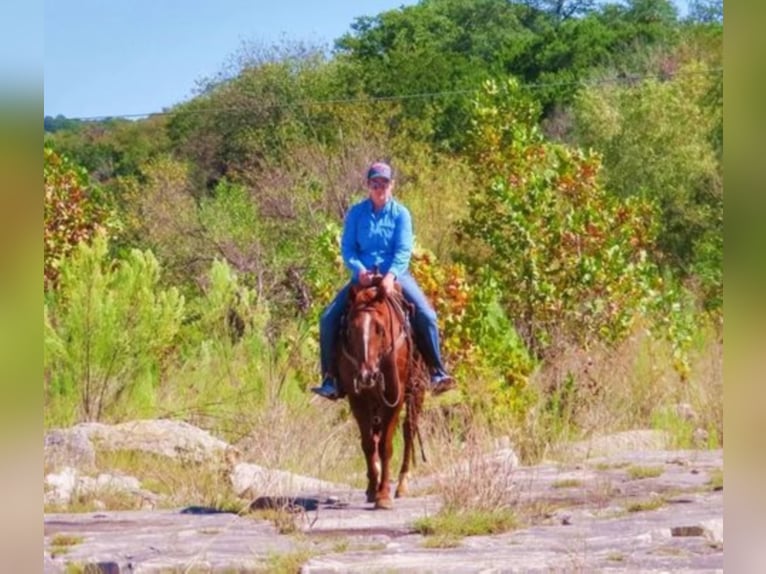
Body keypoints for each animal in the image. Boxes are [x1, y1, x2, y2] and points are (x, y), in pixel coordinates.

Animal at [340, 278, 428, 508]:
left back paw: (402, 484)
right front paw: (373, 488)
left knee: (409, 430)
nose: (366, 376)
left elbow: (386, 447)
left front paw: (383, 495)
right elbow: (369, 444)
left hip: (417, 391)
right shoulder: (357, 399)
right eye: (351, 329)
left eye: (379, 329)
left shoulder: (394, 398)